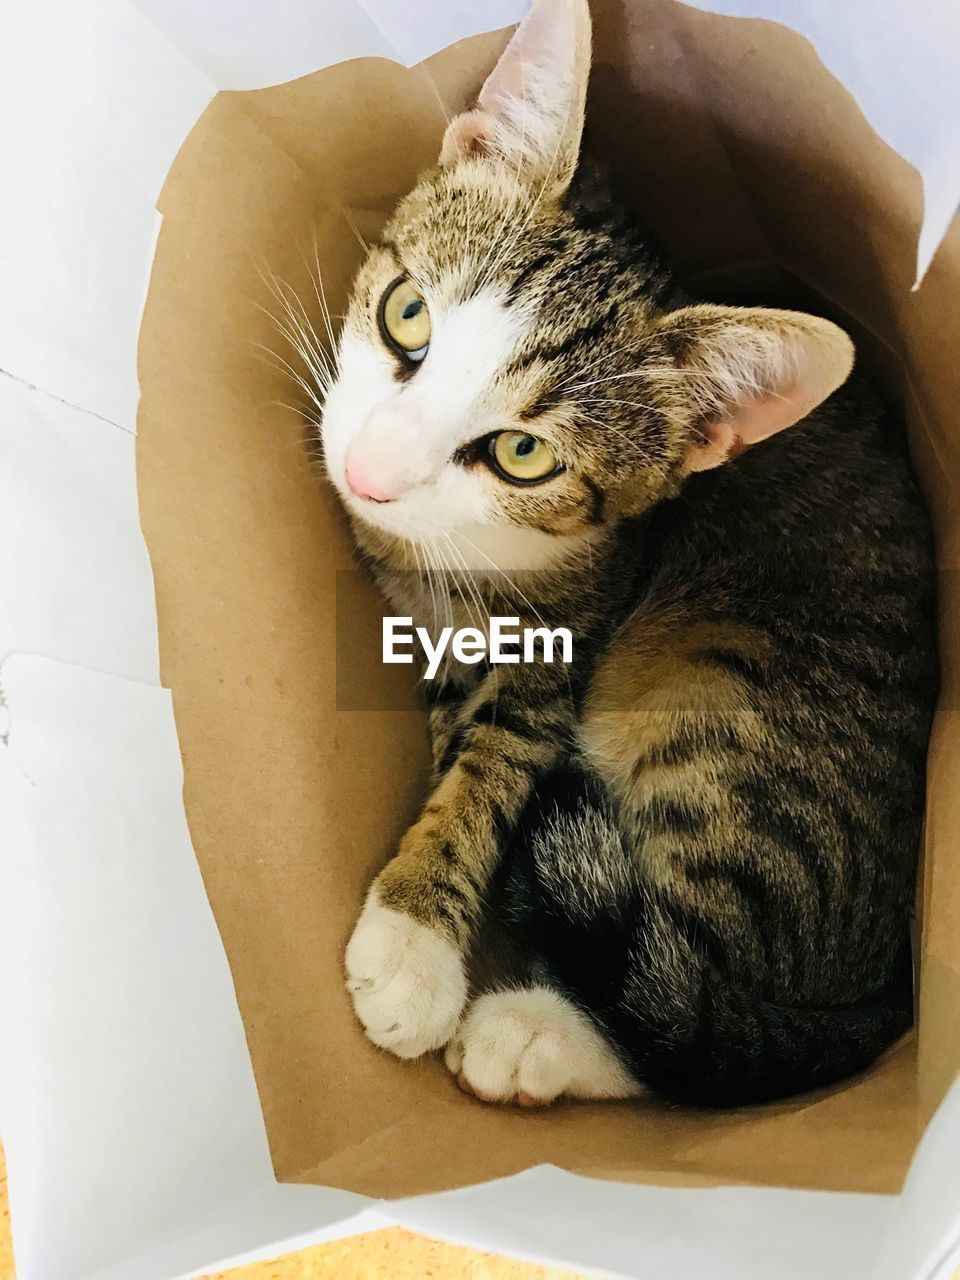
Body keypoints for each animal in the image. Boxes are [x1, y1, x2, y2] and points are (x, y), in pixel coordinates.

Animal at [317, 0, 942, 1105]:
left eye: (524, 454)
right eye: (408, 313)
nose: (369, 472)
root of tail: (884, 988)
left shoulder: (573, 643)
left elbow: (499, 764)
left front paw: (416, 931)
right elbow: (452, 711)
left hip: (720, 710)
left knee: (686, 1015)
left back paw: (532, 1032)